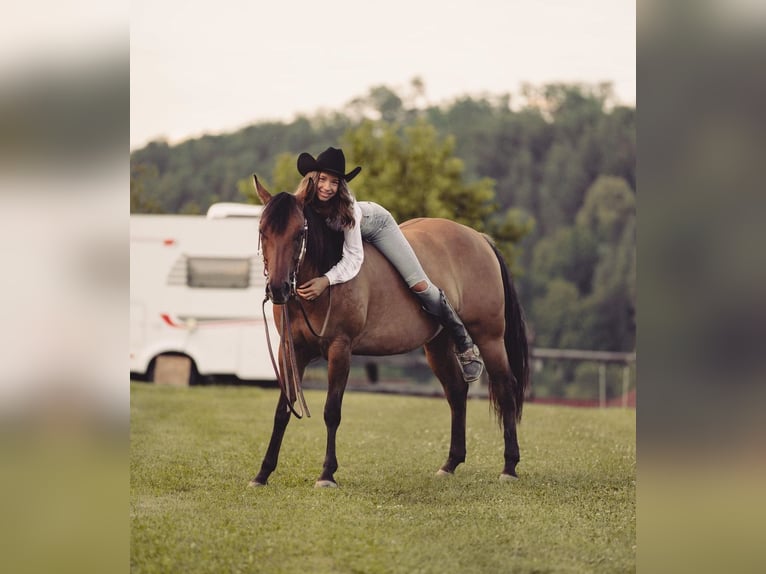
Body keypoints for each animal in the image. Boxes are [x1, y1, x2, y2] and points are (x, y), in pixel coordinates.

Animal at [249, 177, 532, 490]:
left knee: (505, 389)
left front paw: (326, 474)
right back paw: (450, 464)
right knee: (457, 392)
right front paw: (262, 473)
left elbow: (331, 411)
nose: (278, 289)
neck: (325, 277)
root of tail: (480, 239)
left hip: (489, 337)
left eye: (300, 233)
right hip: (437, 346)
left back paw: (509, 466)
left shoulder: (340, 349)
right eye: (262, 231)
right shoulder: (290, 350)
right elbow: (283, 410)